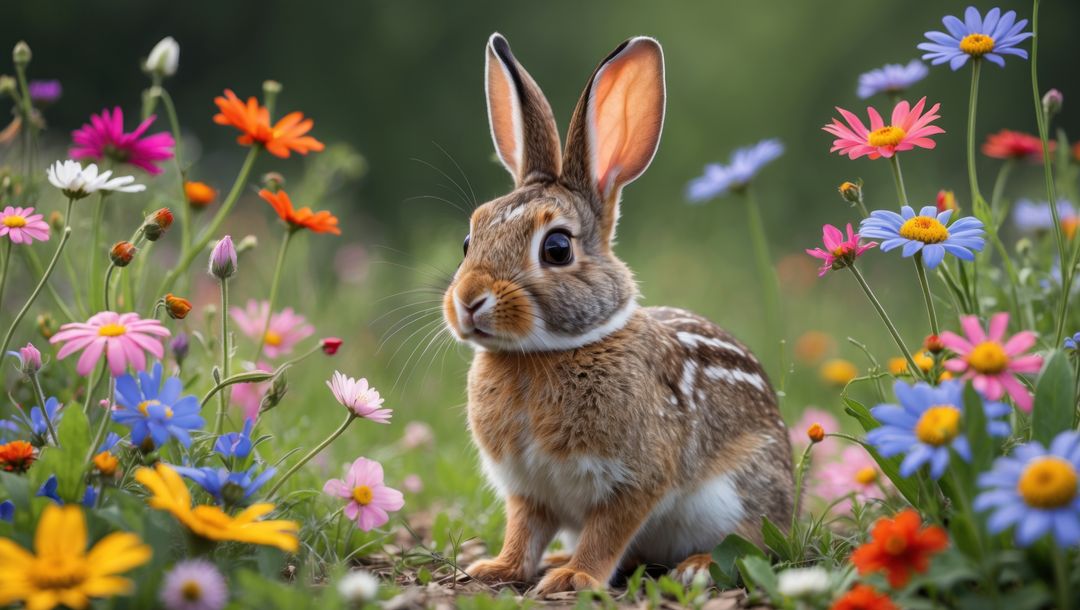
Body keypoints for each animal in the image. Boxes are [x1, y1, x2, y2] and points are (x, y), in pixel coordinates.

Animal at [441, 32, 794, 596]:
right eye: (468, 240)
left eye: (557, 248)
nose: (469, 300)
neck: (541, 354)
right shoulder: (528, 489)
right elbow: (523, 529)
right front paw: (498, 568)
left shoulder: (634, 480)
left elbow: (607, 532)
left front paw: (575, 577)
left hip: (740, 492)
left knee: (752, 544)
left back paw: (694, 567)